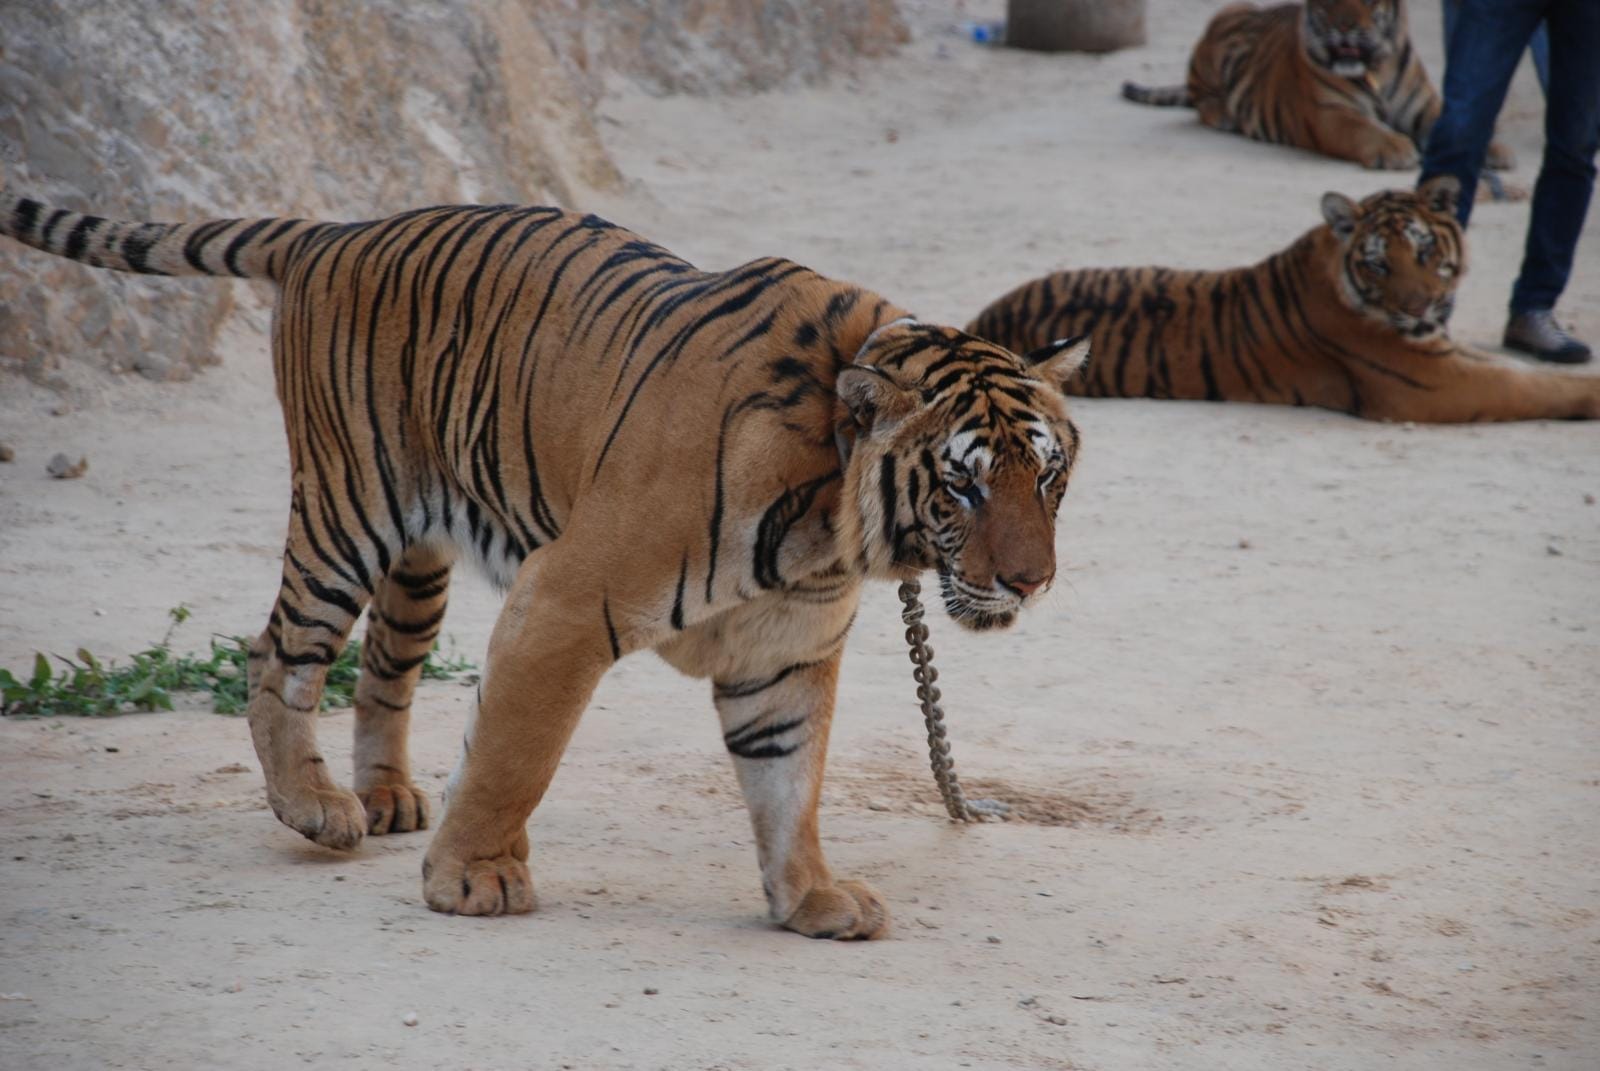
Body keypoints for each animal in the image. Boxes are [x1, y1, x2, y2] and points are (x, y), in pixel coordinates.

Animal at [1, 176, 1091, 939]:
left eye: (1047, 475)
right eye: (962, 486)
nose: (1030, 580)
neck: (830, 522)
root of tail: (334, 231)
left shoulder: (782, 653)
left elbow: (790, 783)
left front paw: (811, 898)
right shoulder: (567, 600)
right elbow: (517, 754)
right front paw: (473, 877)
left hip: (421, 555)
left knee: (384, 667)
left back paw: (385, 796)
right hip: (347, 509)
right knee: (279, 654)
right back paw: (316, 807)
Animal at [966, 176, 1600, 423]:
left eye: (1423, 251)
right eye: (1378, 263)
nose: (1418, 311)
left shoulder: (1447, 354)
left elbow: (1520, 369)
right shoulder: (1435, 383)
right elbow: (1530, 386)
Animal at [1122, 0, 1516, 173]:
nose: (1344, 28)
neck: (1374, 66)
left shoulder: (1423, 105)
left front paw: (1495, 149)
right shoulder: (1330, 114)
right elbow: (1364, 128)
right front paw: (1397, 149)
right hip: (1224, 21)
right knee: (1199, 94)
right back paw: (1223, 114)